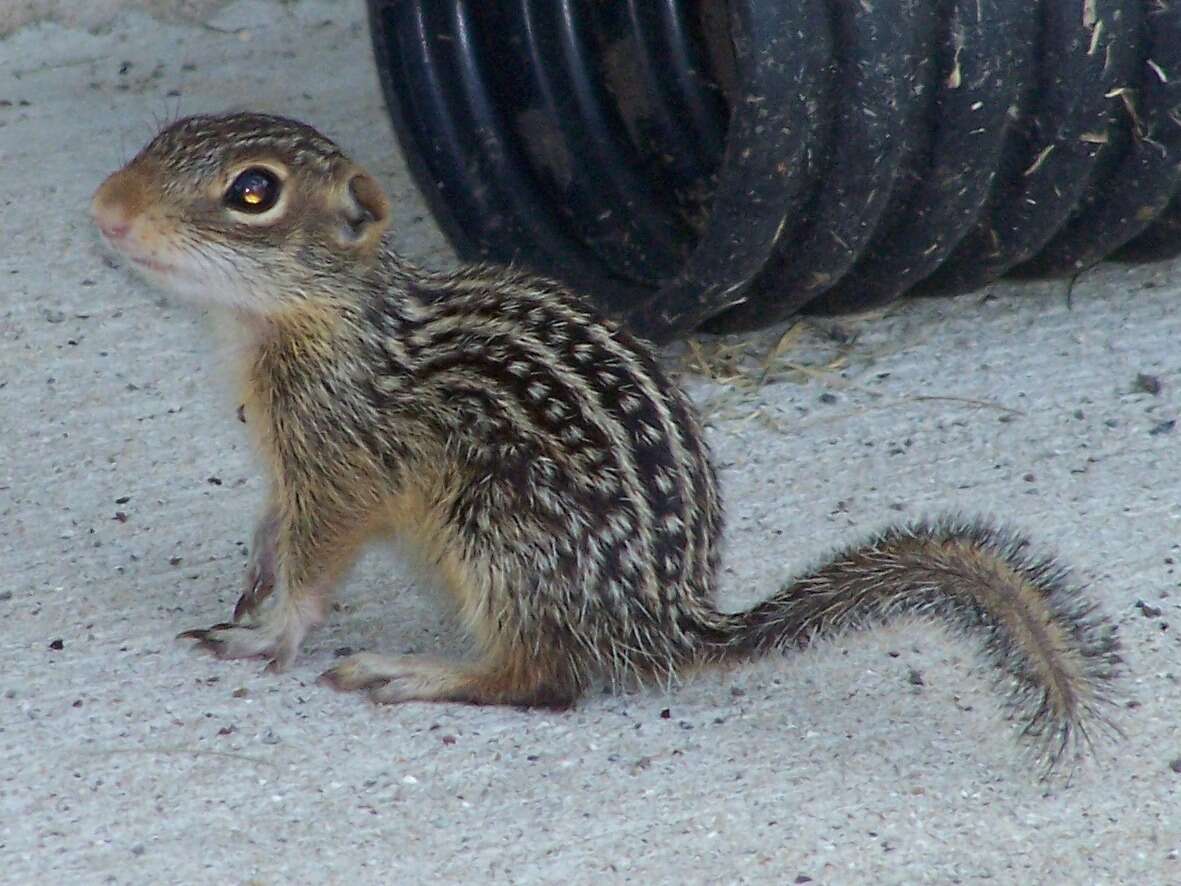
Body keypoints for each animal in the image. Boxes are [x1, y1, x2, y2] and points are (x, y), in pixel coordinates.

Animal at [89, 112, 1114, 770]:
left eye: (252, 191)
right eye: (166, 134)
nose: (105, 207)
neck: (304, 323)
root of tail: (667, 624)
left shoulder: (341, 460)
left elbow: (318, 560)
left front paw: (271, 633)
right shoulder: (283, 461)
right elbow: (273, 525)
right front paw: (251, 581)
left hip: (500, 529)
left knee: (541, 680)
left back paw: (416, 672)